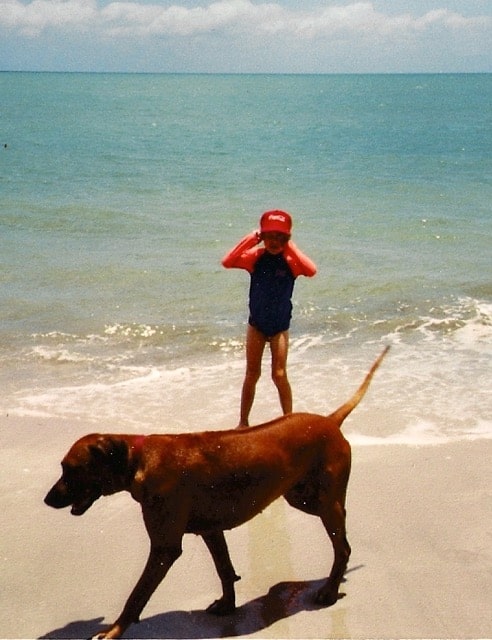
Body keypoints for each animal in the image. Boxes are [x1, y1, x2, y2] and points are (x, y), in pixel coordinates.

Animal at [45, 348, 388, 636]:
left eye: (70, 469)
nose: (47, 500)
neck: (139, 459)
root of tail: (330, 421)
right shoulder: (211, 530)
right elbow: (225, 570)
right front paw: (227, 604)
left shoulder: (164, 548)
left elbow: (137, 595)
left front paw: (114, 630)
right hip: (300, 496)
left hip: (323, 501)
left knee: (342, 545)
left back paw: (330, 590)